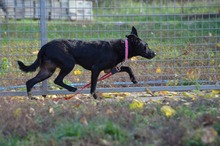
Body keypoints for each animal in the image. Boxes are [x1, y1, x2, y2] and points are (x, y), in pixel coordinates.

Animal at [17, 26, 156, 98]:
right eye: (145, 46)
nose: (154, 53)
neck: (122, 47)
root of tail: (45, 46)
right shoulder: (96, 69)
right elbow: (93, 85)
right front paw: (95, 97)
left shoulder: (110, 69)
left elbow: (128, 68)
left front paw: (133, 79)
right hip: (69, 64)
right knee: (57, 80)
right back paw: (72, 89)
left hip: (47, 70)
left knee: (30, 82)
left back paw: (32, 98)